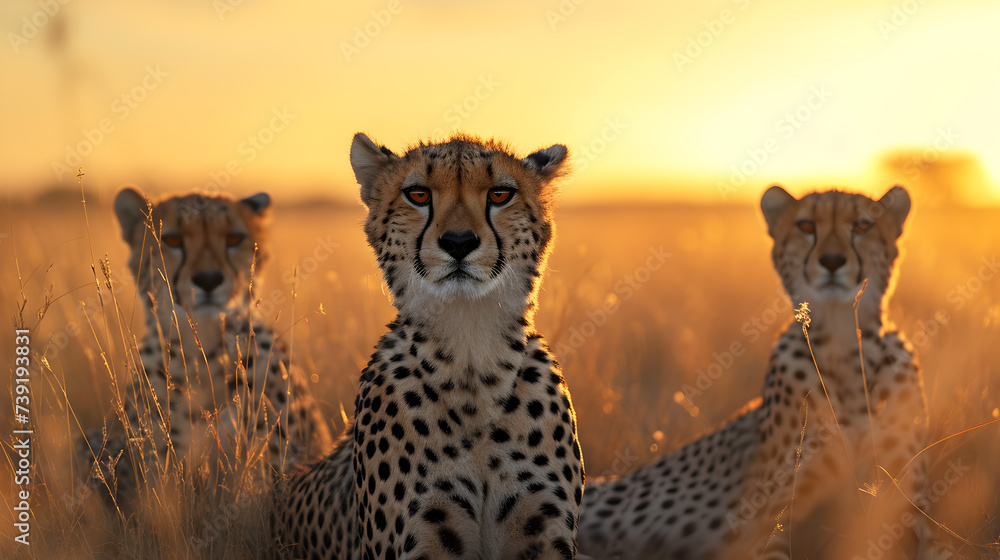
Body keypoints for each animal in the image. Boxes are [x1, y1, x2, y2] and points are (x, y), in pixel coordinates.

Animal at [578, 185, 949, 559]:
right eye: (805, 226)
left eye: (862, 226)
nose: (831, 261)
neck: (844, 342)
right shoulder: (768, 522)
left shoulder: (904, 507)